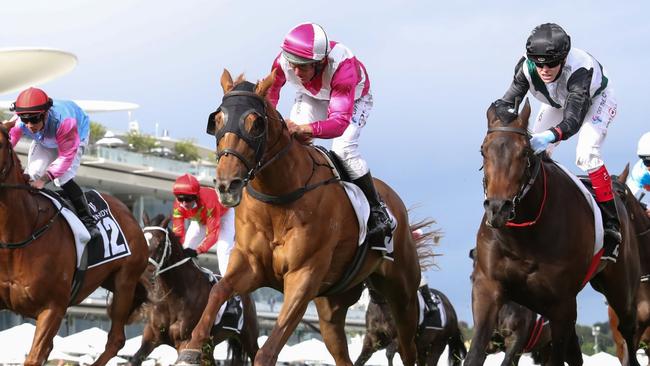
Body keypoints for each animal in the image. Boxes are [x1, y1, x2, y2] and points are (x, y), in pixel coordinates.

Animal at [0, 126, 147, 366]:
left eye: (1, 144)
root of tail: (128, 212)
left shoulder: (53, 308)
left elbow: (34, 356)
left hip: (125, 282)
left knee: (116, 340)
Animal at [128, 214, 260, 366]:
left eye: (160, 244)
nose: (144, 274)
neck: (173, 296)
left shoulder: (185, 341)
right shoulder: (151, 337)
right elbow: (134, 360)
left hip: (248, 338)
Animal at [175, 69, 432, 366]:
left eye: (256, 123)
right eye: (216, 120)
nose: (227, 184)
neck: (280, 196)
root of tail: (396, 204)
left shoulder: (303, 276)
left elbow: (268, 351)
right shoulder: (250, 265)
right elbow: (218, 291)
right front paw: (193, 348)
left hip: (403, 295)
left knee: (408, 348)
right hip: (332, 307)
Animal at [464, 100, 640, 366]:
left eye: (524, 153)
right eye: (484, 151)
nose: (497, 208)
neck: (524, 238)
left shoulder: (561, 305)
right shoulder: (488, 288)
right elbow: (474, 355)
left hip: (621, 290)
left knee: (628, 334)